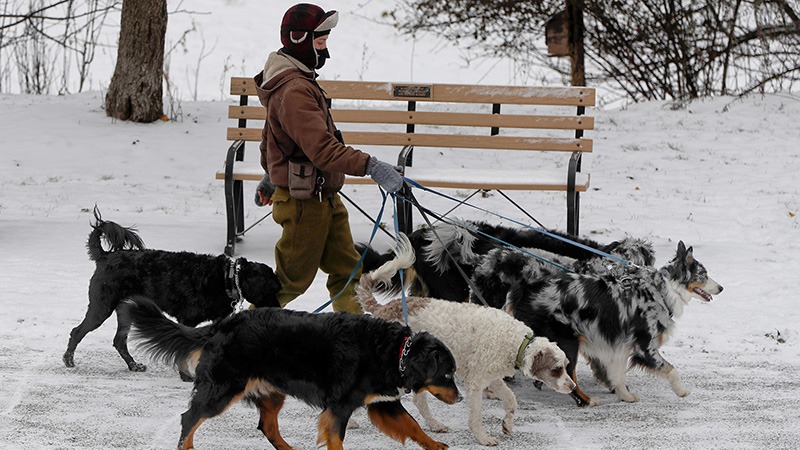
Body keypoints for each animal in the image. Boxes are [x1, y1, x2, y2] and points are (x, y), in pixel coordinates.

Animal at [62, 209, 282, 374]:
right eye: (273, 289)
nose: (278, 309)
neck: (225, 278)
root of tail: (105, 257)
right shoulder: (188, 320)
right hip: (102, 306)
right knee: (77, 331)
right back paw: (69, 360)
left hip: (126, 309)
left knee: (119, 341)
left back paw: (134, 365)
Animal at [125, 298, 462, 448]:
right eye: (447, 375)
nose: (459, 399)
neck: (394, 351)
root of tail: (222, 324)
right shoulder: (339, 408)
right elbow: (336, 440)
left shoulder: (383, 403)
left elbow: (413, 426)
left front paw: (436, 446)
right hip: (223, 389)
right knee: (189, 418)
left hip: (271, 392)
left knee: (267, 427)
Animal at [356, 234, 576, 444]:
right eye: (556, 369)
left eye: (566, 366)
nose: (573, 386)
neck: (516, 343)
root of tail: (383, 308)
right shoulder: (476, 383)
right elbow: (477, 416)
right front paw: (483, 438)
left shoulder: (492, 377)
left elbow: (511, 399)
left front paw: (507, 424)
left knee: (419, 402)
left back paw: (435, 425)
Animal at [472, 241, 720, 406]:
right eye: (704, 274)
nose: (721, 288)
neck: (661, 291)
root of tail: (526, 289)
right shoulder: (645, 347)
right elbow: (671, 370)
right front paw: (681, 391)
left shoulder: (618, 344)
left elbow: (617, 374)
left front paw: (624, 395)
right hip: (567, 343)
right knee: (569, 374)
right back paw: (586, 400)